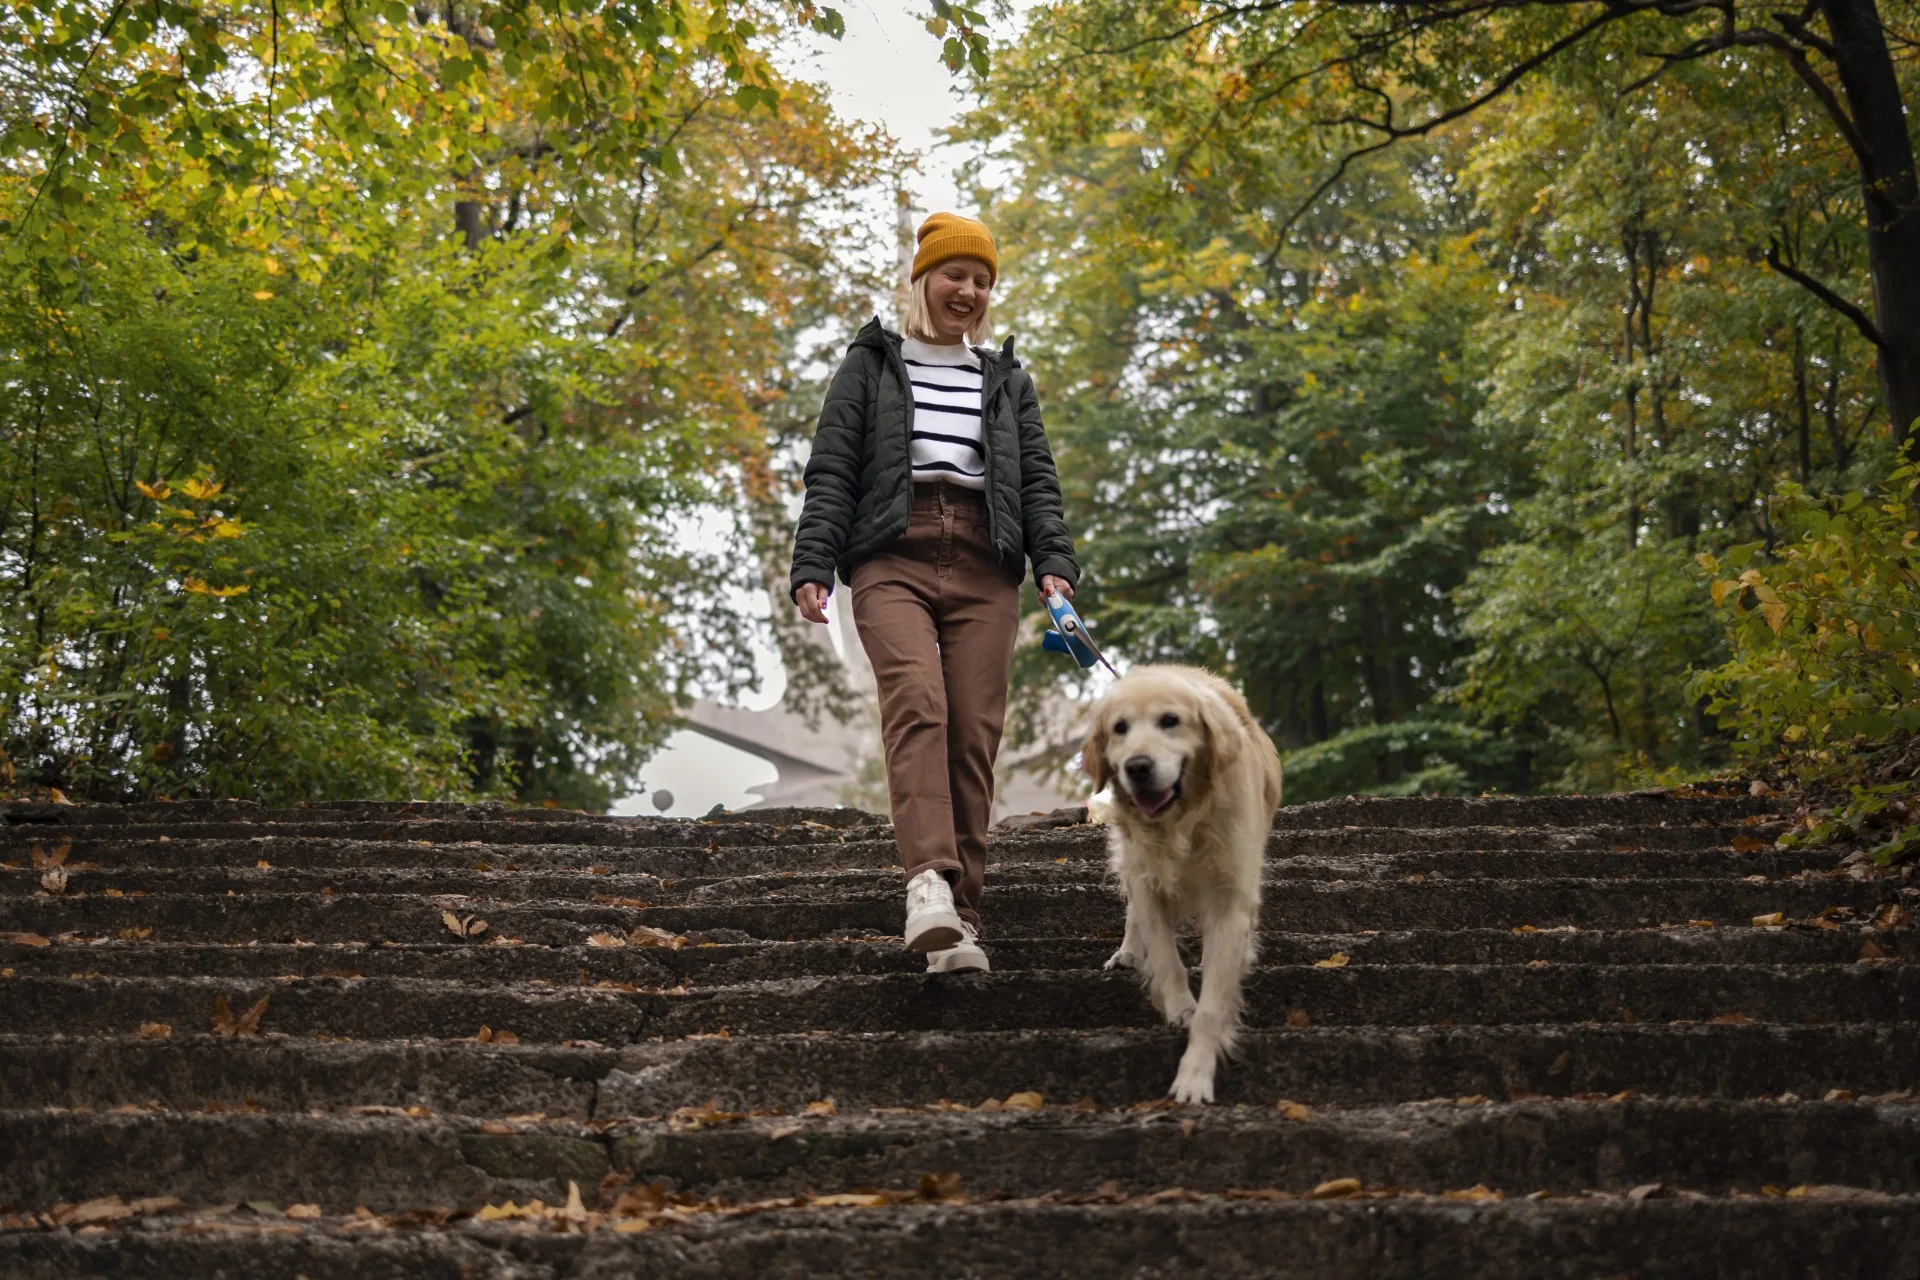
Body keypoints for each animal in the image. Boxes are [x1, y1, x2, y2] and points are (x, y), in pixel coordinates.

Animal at [1090, 667, 1282, 1105]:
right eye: (1120, 728)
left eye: (1170, 720)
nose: (1137, 767)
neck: (1181, 820)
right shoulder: (1148, 879)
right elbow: (1164, 956)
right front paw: (1180, 1008)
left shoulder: (1231, 891)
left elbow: (1213, 1002)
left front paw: (1195, 1075)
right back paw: (1127, 951)